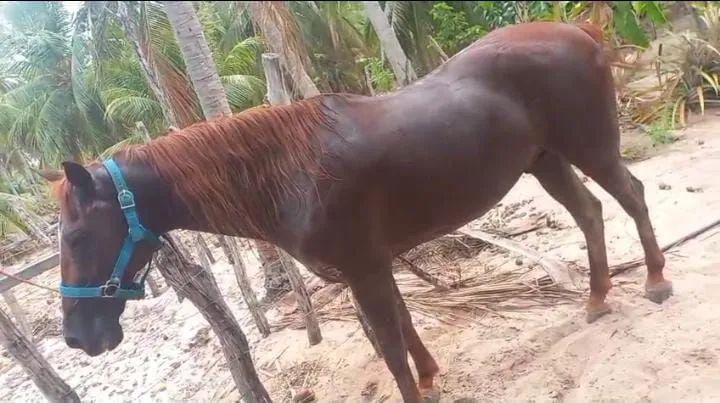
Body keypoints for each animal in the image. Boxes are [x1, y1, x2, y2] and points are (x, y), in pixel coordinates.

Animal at [44, 22, 672, 402]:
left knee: (632, 196)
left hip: (591, 147)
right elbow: (403, 329)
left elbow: (390, 348)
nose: (76, 338)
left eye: (77, 239)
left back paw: (656, 282)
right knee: (590, 212)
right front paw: (432, 377)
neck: (288, 174)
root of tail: (577, 29)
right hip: (546, 161)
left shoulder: (365, 270)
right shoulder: (370, 268)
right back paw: (596, 298)